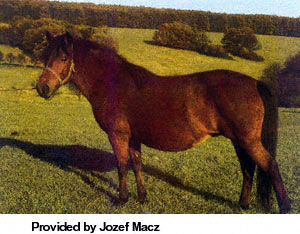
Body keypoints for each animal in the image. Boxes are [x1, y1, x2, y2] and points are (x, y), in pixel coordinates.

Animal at [35, 31, 290, 214]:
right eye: (45, 57)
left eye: (64, 58)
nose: (42, 88)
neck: (113, 84)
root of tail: (255, 83)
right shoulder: (133, 138)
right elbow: (136, 165)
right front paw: (141, 198)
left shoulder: (118, 135)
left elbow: (122, 165)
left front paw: (122, 199)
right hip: (239, 141)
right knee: (248, 168)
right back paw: (242, 204)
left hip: (248, 141)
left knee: (270, 165)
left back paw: (285, 208)